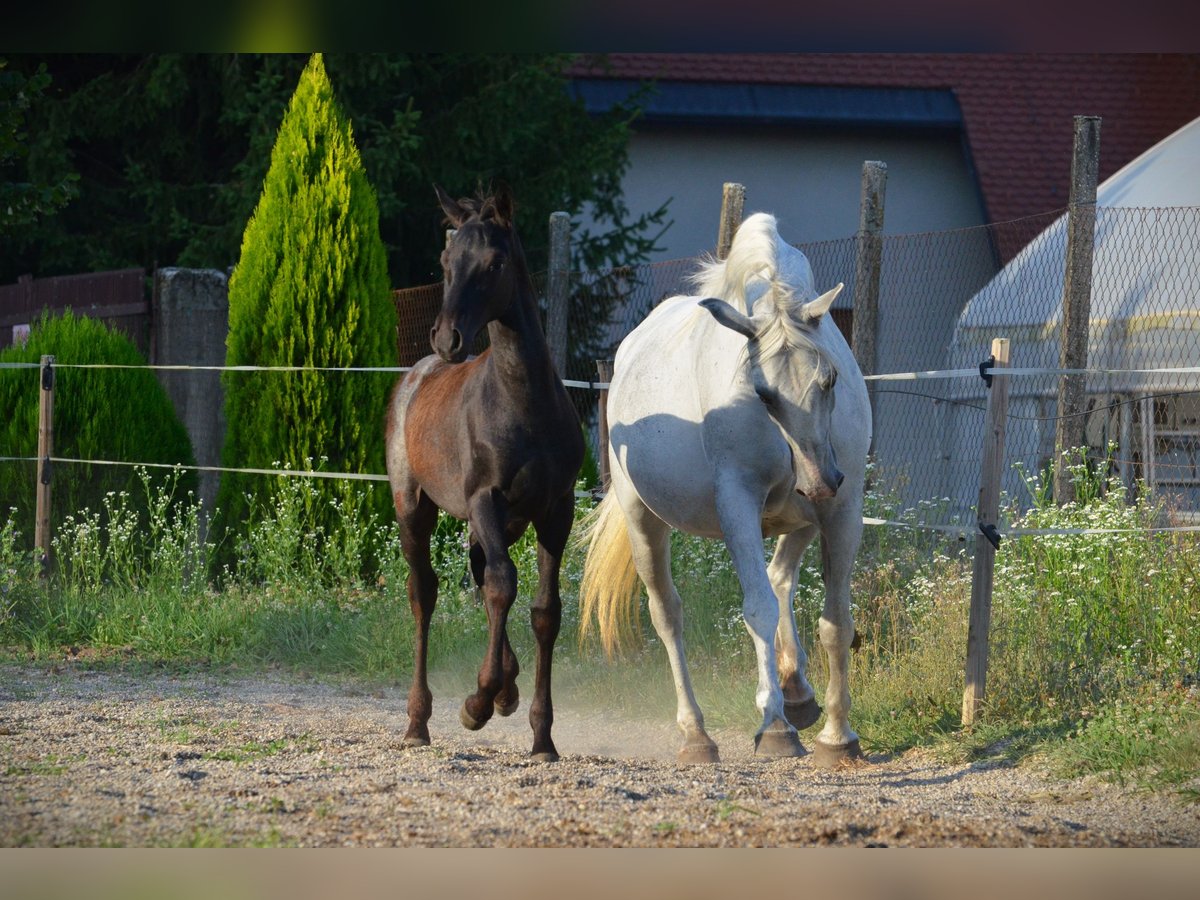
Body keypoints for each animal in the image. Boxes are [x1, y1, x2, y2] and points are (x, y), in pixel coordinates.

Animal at [384, 187, 585, 763]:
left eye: (494, 263)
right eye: (446, 261)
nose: (448, 337)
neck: (523, 403)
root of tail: (416, 374)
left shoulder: (556, 510)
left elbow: (543, 609)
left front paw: (541, 737)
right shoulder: (485, 500)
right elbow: (501, 586)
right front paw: (477, 702)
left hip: (495, 523)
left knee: (480, 574)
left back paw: (507, 691)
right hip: (414, 507)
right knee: (425, 592)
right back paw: (419, 722)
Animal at [578, 213, 868, 768]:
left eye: (829, 378)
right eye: (763, 392)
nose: (819, 480)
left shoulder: (843, 509)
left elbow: (836, 621)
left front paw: (839, 736)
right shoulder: (738, 505)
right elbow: (757, 608)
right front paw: (774, 726)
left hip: (799, 519)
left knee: (781, 578)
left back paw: (798, 692)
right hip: (643, 518)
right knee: (668, 615)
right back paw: (697, 734)